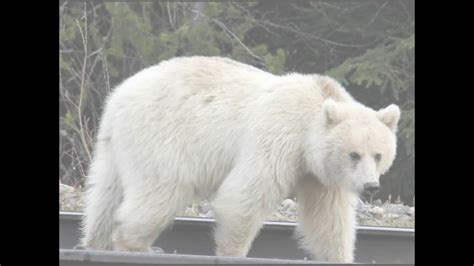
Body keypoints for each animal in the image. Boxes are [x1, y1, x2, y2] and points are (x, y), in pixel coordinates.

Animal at [81, 55, 400, 262]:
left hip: (114, 146)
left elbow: (328, 218)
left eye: (378, 155)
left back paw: (97, 242)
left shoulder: (320, 176)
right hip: (161, 138)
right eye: (353, 154)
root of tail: (118, 97)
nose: (370, 186)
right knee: (159, 193)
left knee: (105, 195)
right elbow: (243, 197)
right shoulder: (277, 139)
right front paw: (232, 253)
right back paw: (136, 245)